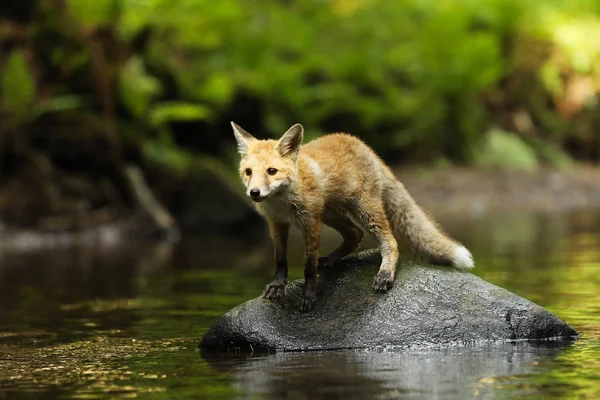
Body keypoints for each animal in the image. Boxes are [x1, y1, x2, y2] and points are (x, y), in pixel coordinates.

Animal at [231, 122, 474, 312]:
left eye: (271, 171)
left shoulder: (311, 222)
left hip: (364, 211)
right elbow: (280, 259)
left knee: (390, 241)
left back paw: (385, 274)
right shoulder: (277, 223)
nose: (254, 193)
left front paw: (308, 296)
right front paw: (278, 285)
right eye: (248, 172)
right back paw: (331, 259)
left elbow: (309, 266)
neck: (281, 202)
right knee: (354, 234)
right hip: (332, 214)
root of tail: (362, 144)